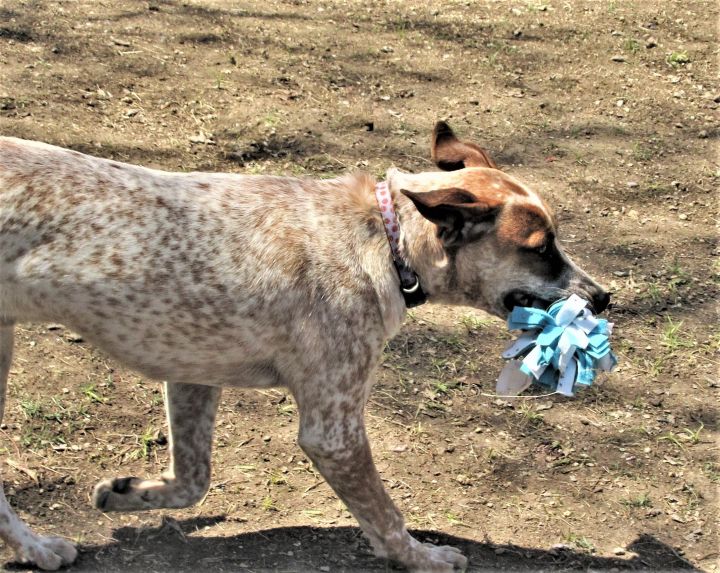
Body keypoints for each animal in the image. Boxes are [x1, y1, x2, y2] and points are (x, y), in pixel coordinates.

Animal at [0, 123, 608, 568]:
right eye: (542, 248)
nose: (604, 298)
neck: (383, 239)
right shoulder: (333, 431)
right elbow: (386, 516)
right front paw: (423, 557)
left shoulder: (193, 375)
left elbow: (192, 480)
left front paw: (128, 494)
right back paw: (38, 548)